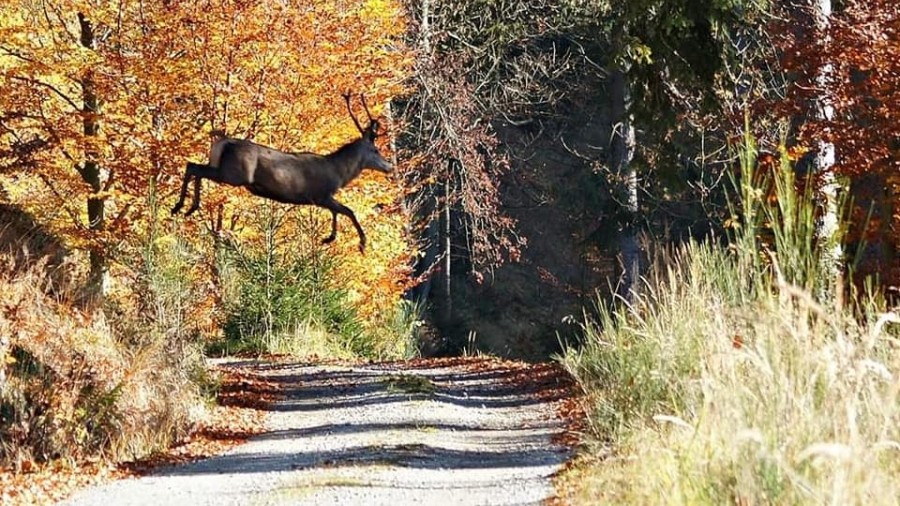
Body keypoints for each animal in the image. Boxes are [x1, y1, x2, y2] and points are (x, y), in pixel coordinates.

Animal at [172, 92, 390, 253]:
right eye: (376, 150)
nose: (389, 166)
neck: (339, 171)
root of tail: (222, 141)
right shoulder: (320, 194)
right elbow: (348, 211)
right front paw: (361, 243)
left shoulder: (322, 198)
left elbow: (338, 211)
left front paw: (329, 238)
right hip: (233, 174)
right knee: (195, 169)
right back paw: (186, 206)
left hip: (221, 169)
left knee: (192, 165)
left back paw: (182, 207)